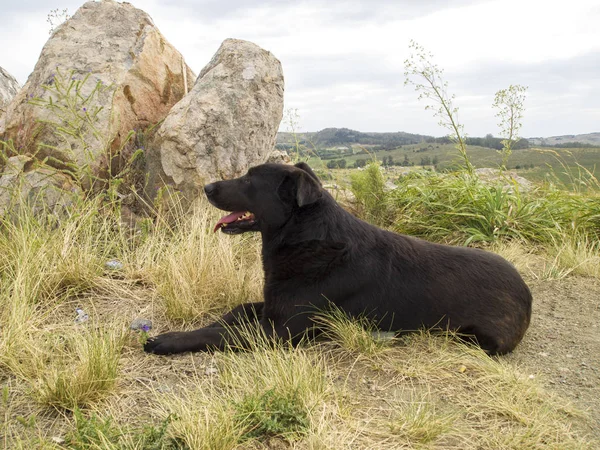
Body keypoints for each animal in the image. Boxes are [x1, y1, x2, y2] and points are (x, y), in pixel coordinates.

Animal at [144, 162, 528, 356]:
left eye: (250, 180)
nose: (207, 188)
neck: (304, 236)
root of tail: (527, 294)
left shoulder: (279, 331)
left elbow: (224, 335)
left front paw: (170, 340)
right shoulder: (272, 307)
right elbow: (233, 315)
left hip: (480, 339)